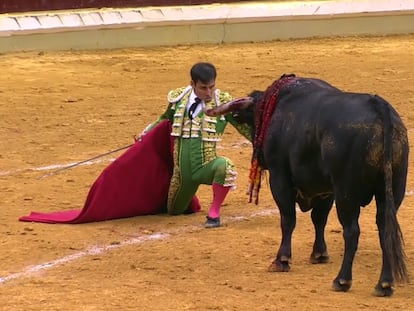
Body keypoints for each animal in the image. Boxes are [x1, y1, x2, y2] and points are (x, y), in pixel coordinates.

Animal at [205, 73, 410, 298]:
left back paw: (342, 280)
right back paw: (384, 284)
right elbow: (319, 219)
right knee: (385, 230)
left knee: (352, 231)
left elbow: (288, 219)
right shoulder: (326, 190)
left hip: (346, 193)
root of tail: (379, 107)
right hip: (391, 191)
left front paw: (282, 259)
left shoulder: (280, 179)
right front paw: (319, 254)